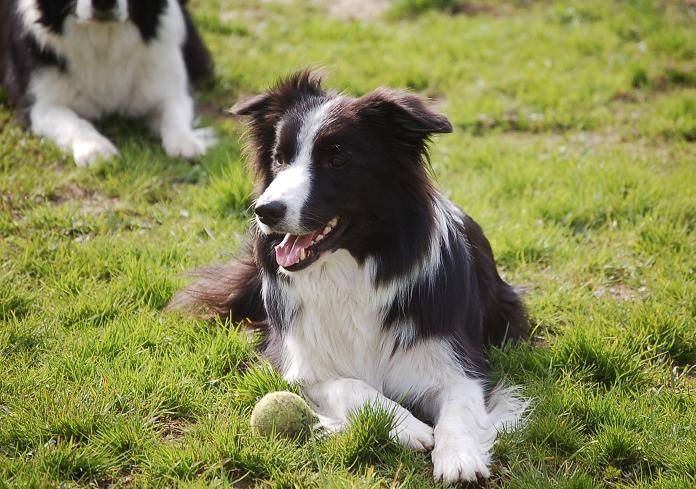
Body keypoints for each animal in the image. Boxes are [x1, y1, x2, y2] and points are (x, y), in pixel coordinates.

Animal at [0, 0, 215, 166]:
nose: (104, 2)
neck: (104, 41)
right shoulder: (39, 106)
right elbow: (75, 121)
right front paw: (95, 148)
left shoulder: (170, 89)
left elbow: (172, 112)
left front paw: (187, 142)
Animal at [171, 70, 532, 482]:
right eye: (279, 158)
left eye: (337, 159)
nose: (265, 211)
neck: (350, 271)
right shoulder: (297, 362)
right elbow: (351, 386)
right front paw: (407, 426)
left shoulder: (458, 361)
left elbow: (460, 409)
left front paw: (459, 458)